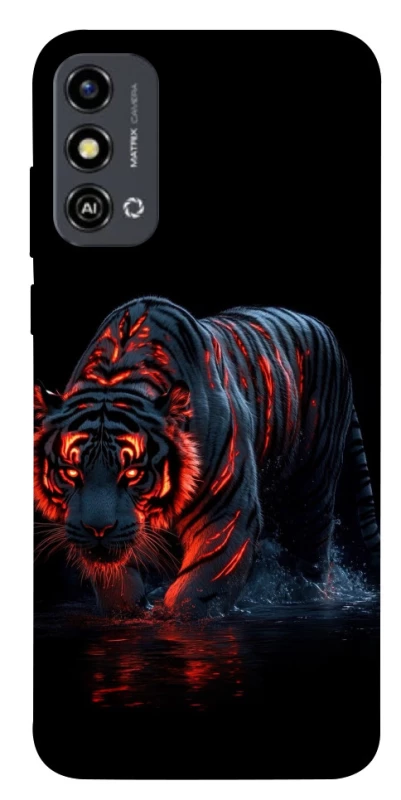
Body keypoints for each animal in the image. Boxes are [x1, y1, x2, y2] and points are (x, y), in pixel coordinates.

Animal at [34, 297, 379, 618]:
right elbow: (117, 586)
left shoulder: (226, 511)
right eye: (71, 473)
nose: (98, 531)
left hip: (311, 490)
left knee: (312, 558)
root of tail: (325, 329)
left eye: (131, 474)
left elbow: (199, 588)